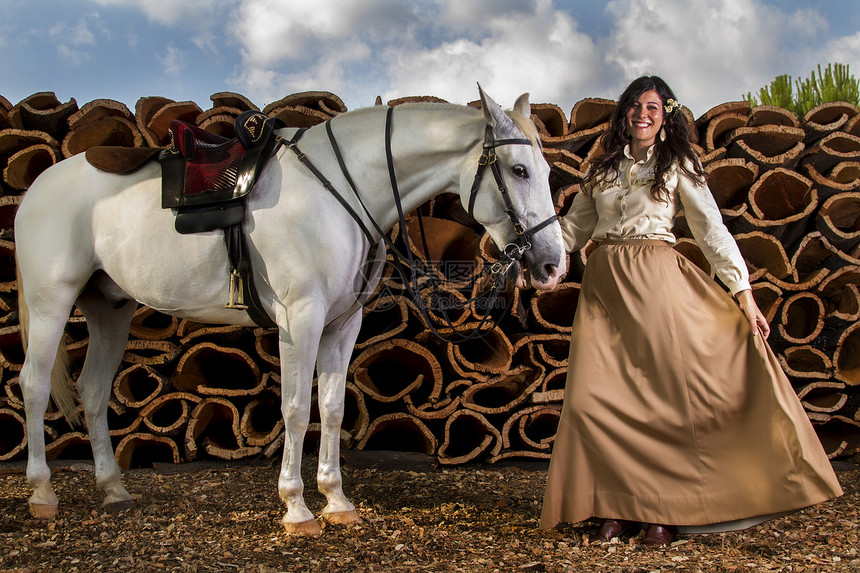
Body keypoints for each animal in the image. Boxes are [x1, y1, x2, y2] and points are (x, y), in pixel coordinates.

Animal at [13, 87, 568, 536]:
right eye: (519, 170)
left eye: (543, 171)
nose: (552, 264)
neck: (342, 190)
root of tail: (39, 187)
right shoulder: (300, 319)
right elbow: (297, 409)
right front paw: (297, 508)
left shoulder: (342, 327)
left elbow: (333, 408)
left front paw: (337, 502)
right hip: (50, 302)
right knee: (34, 386)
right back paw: (42, 494)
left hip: (109, 308)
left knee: (91, 391)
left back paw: (113, 489)